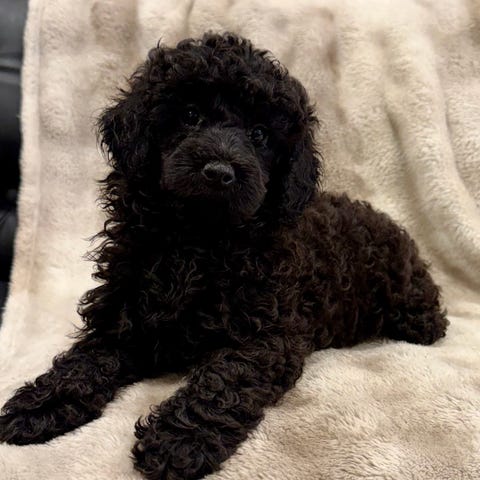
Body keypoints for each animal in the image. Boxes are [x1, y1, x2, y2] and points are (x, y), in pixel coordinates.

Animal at [0, 32, 448, 480]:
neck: (198, 237)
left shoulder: (265, 335)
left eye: (260, 134)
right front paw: (41, 404)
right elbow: (86, 359)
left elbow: (223, 381)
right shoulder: (123, 315)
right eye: (190, 114)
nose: (219, 171)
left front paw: (178, 441)